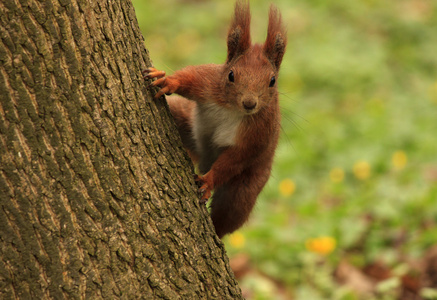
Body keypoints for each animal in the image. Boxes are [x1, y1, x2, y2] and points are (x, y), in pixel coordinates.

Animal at [143, 0, 286, 239]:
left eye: (272, 81)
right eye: (231, 75)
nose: (250, 104)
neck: (232, 108)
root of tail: (202, 160)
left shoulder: (258, 132)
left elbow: (235, 158)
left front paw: (208, 181)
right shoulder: (208, 82)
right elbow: (189, 78)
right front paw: (167, 80)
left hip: (245, 189)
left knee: (228, 214)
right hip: (184, 119)